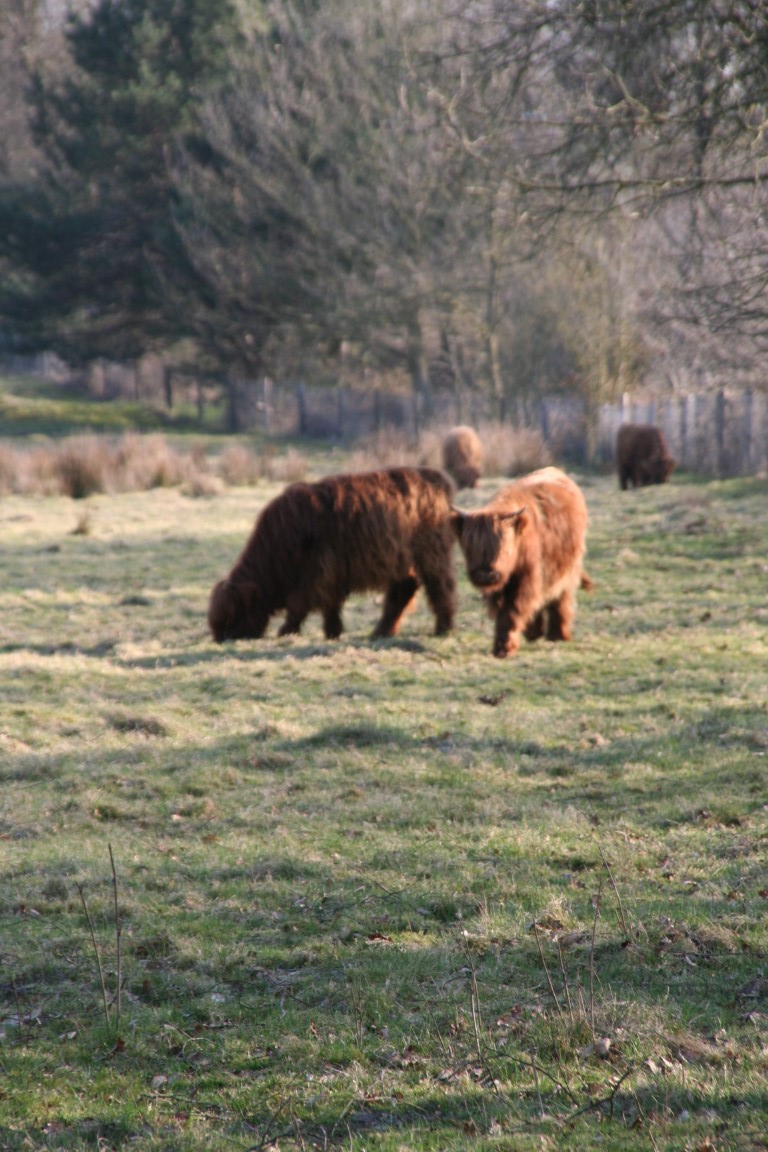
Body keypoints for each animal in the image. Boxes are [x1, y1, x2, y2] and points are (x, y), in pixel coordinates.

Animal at [208, 466, 458, 643]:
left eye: (233, 615)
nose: (223, 638)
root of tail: (436, 478)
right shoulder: (331, 572)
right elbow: (330, 603)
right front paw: (332, 632)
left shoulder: (317, 571)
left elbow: (299, 604)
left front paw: (287, 631)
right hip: (399, 557)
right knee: (404, 588)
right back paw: (382, 631)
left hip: (430, 552)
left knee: (439, 585)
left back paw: (443, 627)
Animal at [450, 466, 590, 658]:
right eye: (469, 546)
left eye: (503, 546)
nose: (485, 574)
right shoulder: (501, 589)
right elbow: (505, 612)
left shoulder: (527, 578)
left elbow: (512, 611)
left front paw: (504, 648)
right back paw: (535, 632)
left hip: (567, 570)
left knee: (560, 599)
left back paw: (558, 635)